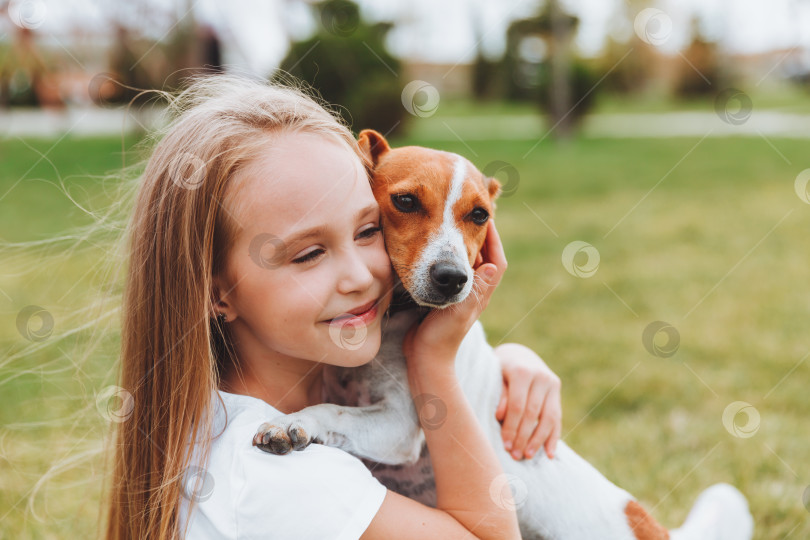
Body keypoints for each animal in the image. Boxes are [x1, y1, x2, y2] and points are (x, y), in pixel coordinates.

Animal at [252, 131, 752, 540]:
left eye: (479, 215)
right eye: (406, 201)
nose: (453, 279)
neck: (398, 318)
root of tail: (654, 527)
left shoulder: (400, 425)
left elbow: (332, 411)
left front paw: (293, 422)